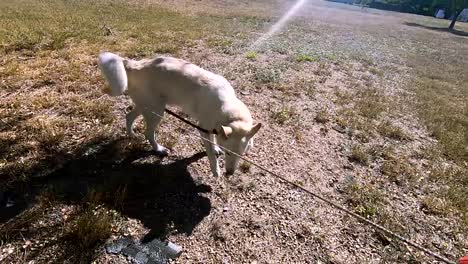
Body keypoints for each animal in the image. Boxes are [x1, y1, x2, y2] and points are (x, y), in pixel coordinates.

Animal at [97, 52, 262, 176]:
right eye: (228, 154)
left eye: (241, 155)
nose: (229, 174)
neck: (226, 105)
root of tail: (134, 65)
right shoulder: (203, 129)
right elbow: (210, 152)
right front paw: (215, 170)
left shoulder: (212, 128)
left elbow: (214, 140)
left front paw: (216, 148)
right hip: (157, 111)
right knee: (148, 133)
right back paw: (158, 149)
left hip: (147, 106)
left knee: (129, 116)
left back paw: (132, 135)